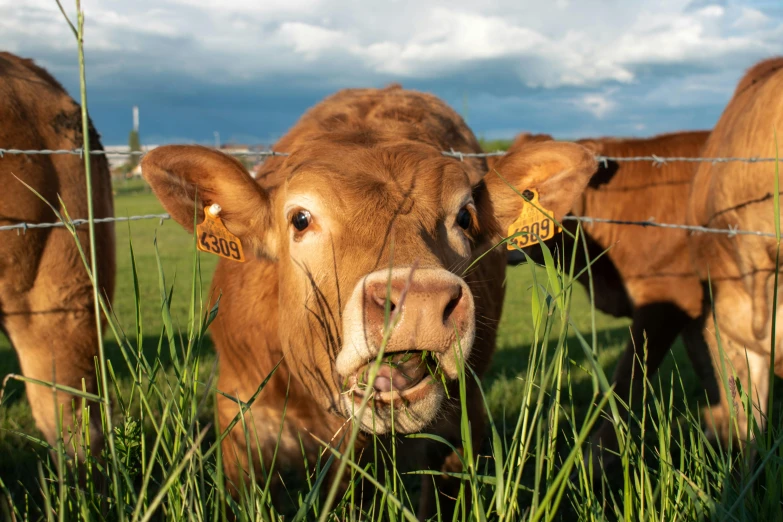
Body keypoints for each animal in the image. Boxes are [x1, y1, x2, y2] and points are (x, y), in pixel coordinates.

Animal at [500, 132, 720, 466]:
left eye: (526, 193)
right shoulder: (694, 313)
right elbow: (715, 378)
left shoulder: (666, 299)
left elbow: (623, 385)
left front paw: (588, 466)